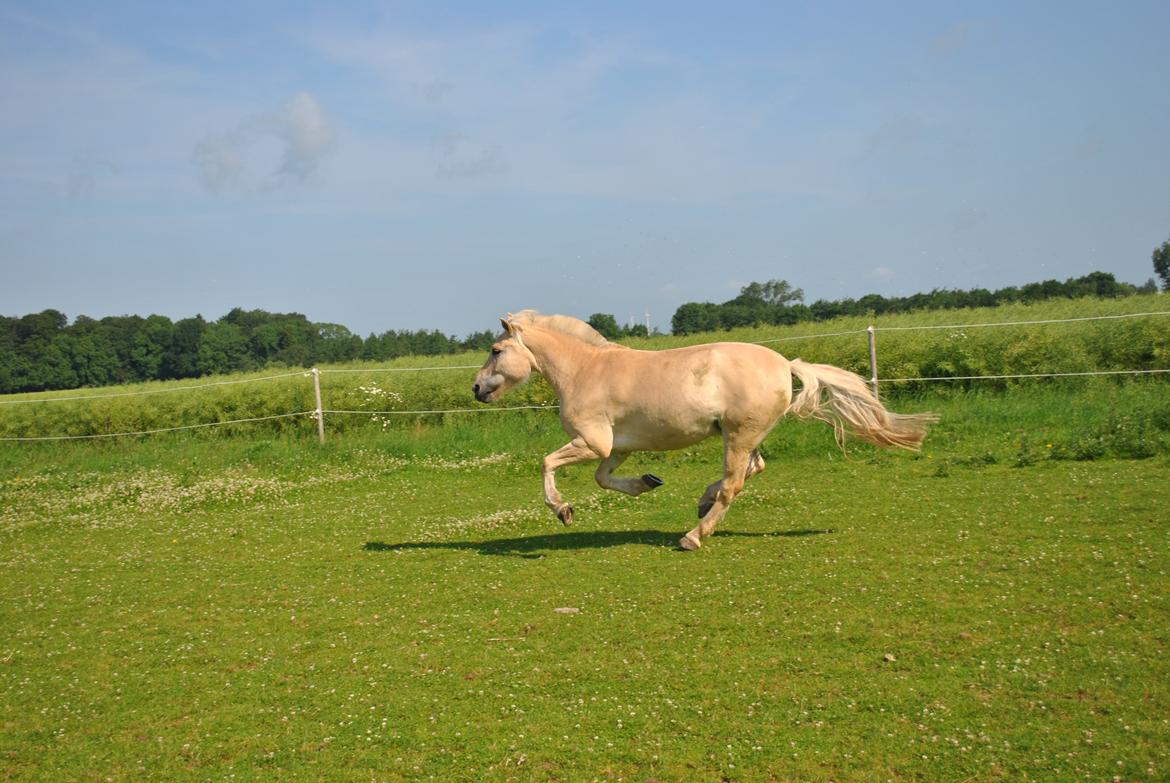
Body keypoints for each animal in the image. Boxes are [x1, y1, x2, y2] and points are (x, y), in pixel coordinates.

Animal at [470, 311, 935, 550]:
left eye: (495, 350)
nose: (476, 388)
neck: (585, 370)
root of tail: (785, 364)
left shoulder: (592, 442)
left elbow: (547, 463)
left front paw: (562, 510)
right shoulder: (615, 448)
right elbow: (604, 479)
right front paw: (647, 482)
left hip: (739, 435)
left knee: (735, 483)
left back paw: (694, 535)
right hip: (743, 436)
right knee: (752, 470)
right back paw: (701, 503)